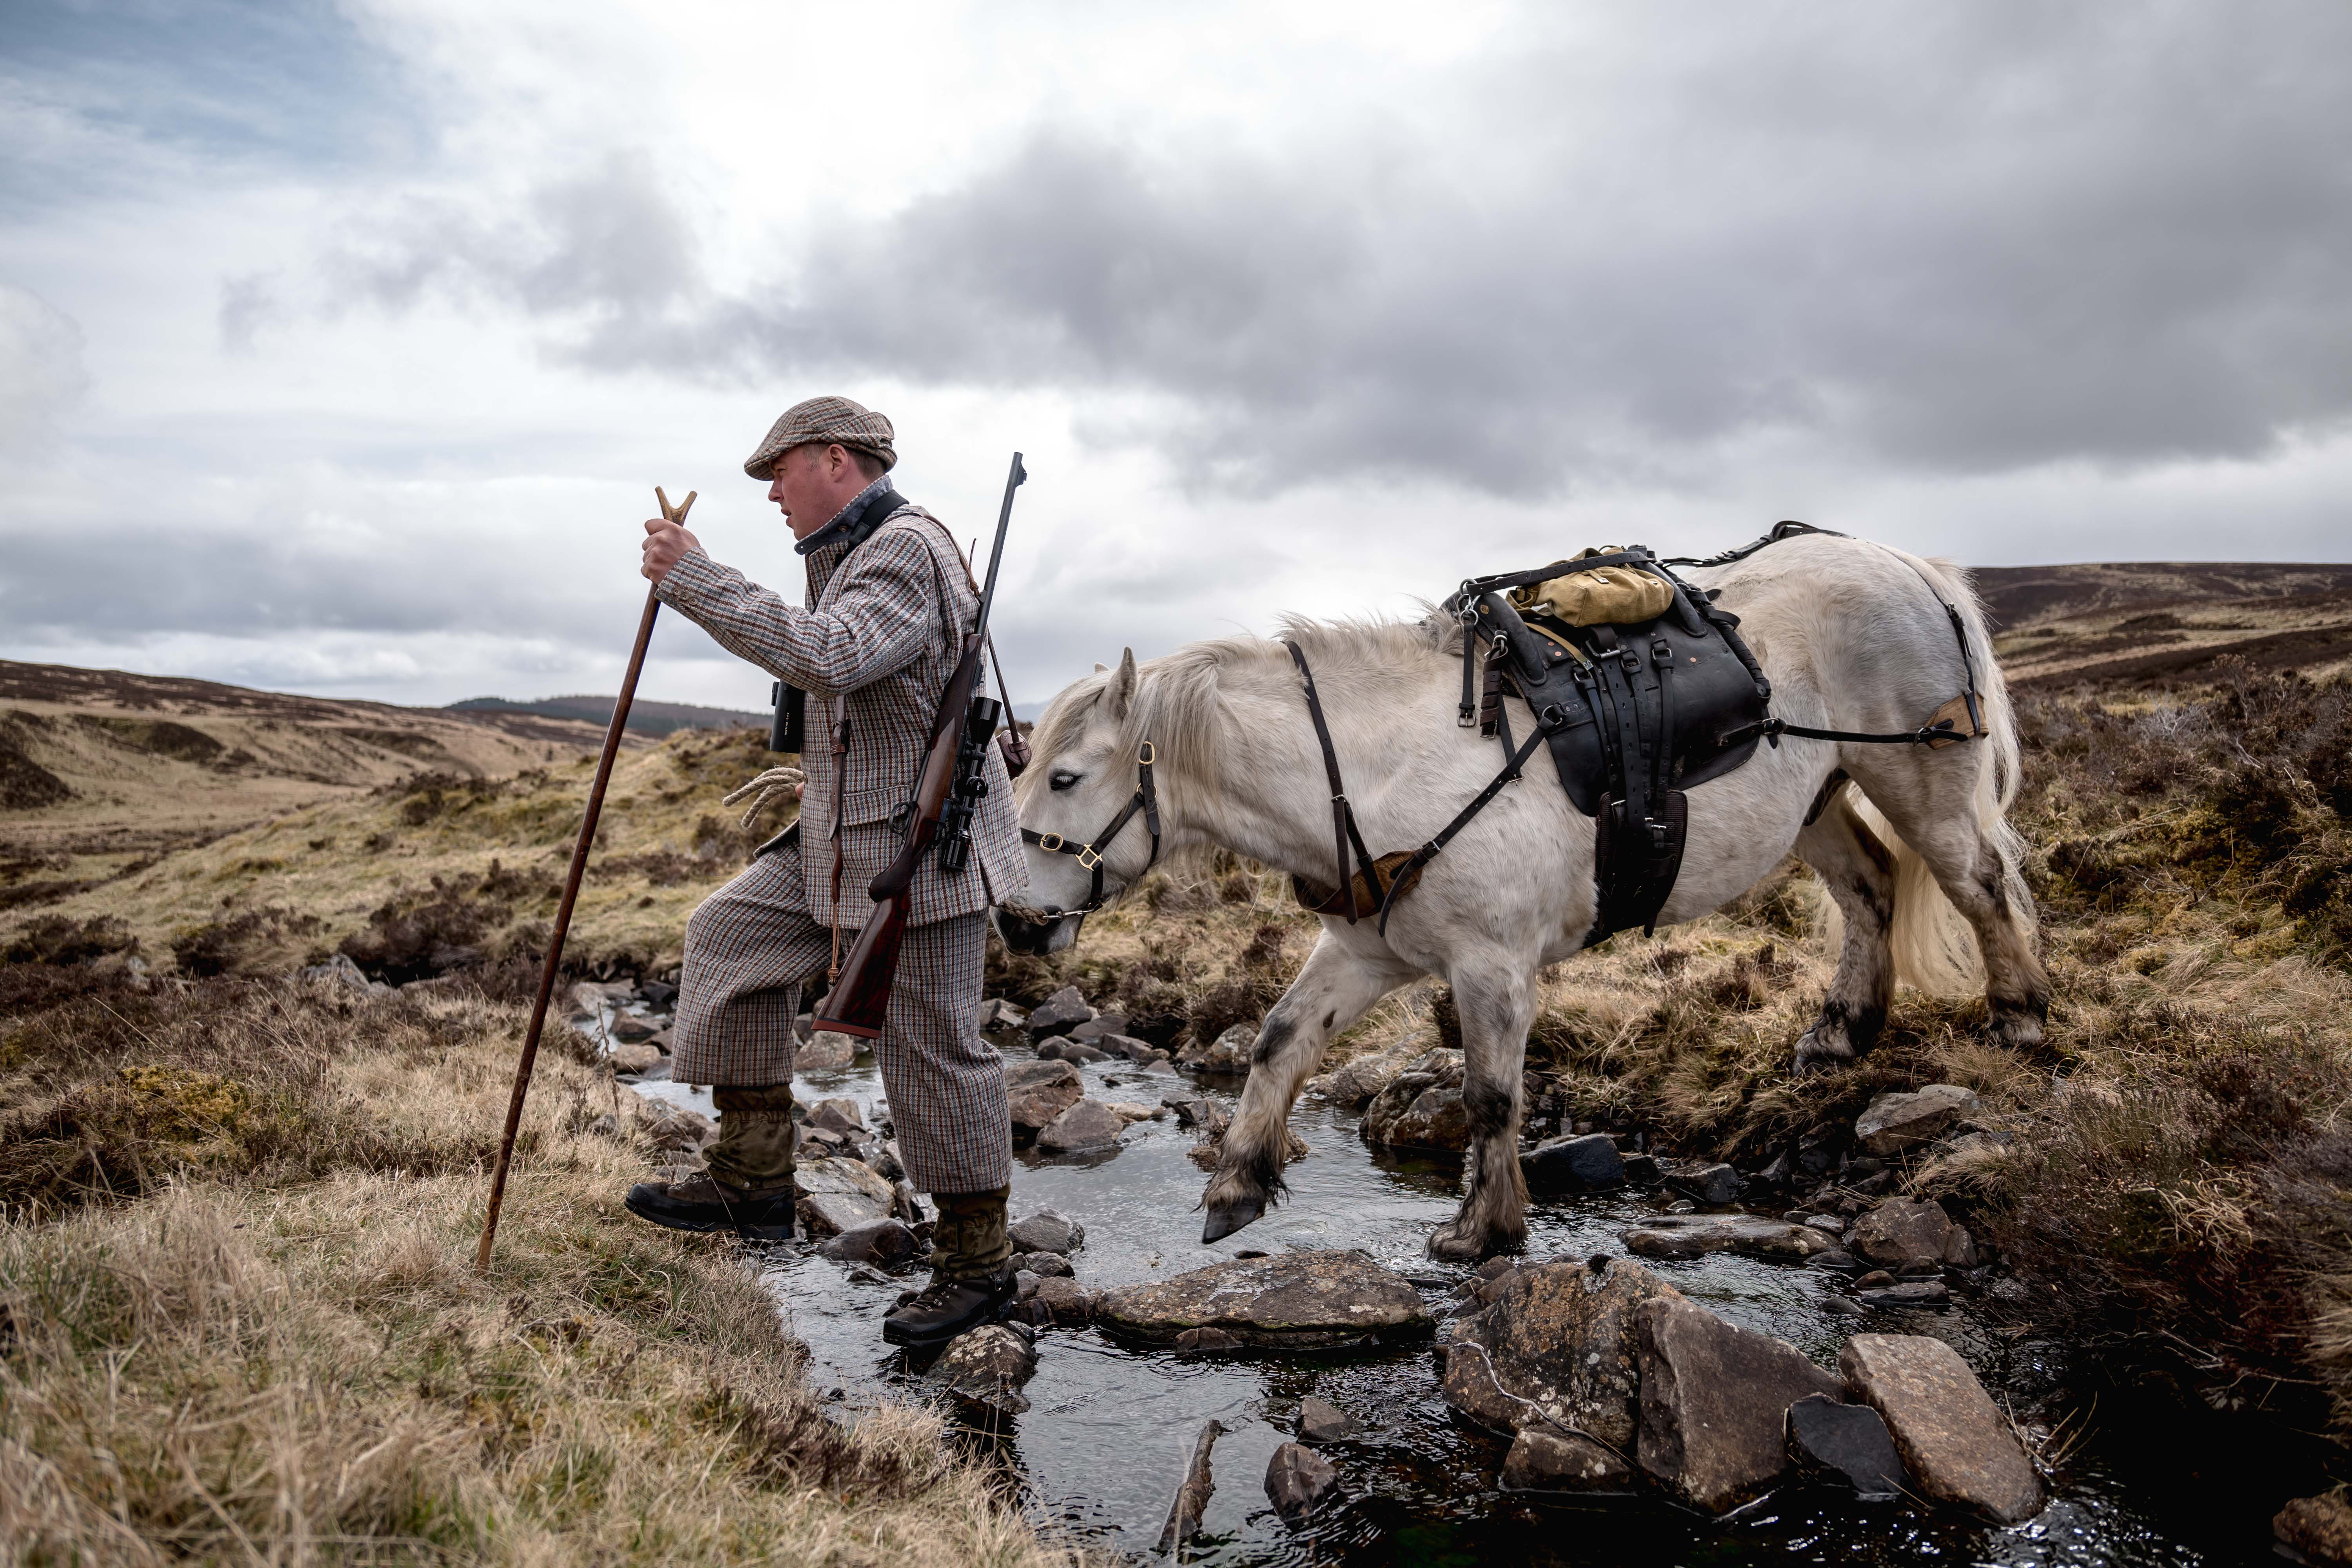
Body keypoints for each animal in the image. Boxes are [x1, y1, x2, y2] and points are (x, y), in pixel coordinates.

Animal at [993, 536, 2042, 1260]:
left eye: (1065, 777)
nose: (1013, 919)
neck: (1371, 772)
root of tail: (1912, 566)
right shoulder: (1365, 950)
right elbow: (1278, 1041)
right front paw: (1236, 1187)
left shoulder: (1492, 965)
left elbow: (1493, 1096)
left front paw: (1482, 1229)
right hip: (1818, 799)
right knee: (1870, 887)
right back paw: (1841, 1031)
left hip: (1918, 779)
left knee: (1980, 883)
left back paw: (2020, 1016)